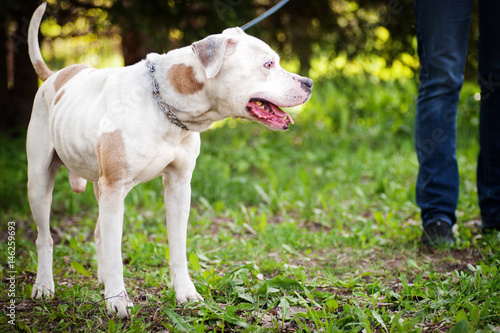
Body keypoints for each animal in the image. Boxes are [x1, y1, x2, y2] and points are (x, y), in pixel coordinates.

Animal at [27, 2, 312, 316]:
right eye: (268, 65)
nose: (309, 82)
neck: (163, 102)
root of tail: (54, 75)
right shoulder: (115, 188)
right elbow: (115, 252)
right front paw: (117, 300)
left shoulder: (178, 185)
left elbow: (177, 245)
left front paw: (184, 293)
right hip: (40, 180)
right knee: (45, 236)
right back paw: (44, 286)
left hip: (99, 185)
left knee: (100, 232)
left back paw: (101, 280)